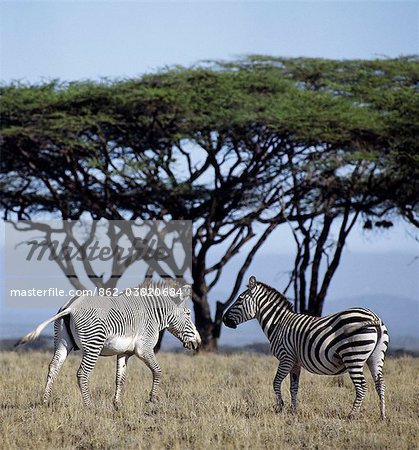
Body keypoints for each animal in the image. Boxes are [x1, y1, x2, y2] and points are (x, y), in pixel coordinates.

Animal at [16, 278, 200, 408]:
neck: (151, 314)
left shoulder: (124, 352)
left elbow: (120, 378)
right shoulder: (144, 348)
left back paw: (45, 402)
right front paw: (152, 399)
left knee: (53, 367)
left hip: (61, 342)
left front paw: (117, 404)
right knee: (82, 373)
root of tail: (71, 307)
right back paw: (89, 406)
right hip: (93, 345)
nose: (198, 342)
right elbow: (158, 371)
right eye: (188, 313)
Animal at [223, 276, 390, 420]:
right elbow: (293, 387)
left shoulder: (286, 357)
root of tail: (374, 317)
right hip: (375, 357)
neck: (278, 323)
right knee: (380, 383)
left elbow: (276, 382)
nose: (224, 319)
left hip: (353, 356)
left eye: (239, 299)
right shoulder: (295, 362)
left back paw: (351, 415)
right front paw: (293, 410)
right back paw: (382, 415)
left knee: (361, 386)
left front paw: (280, 407)